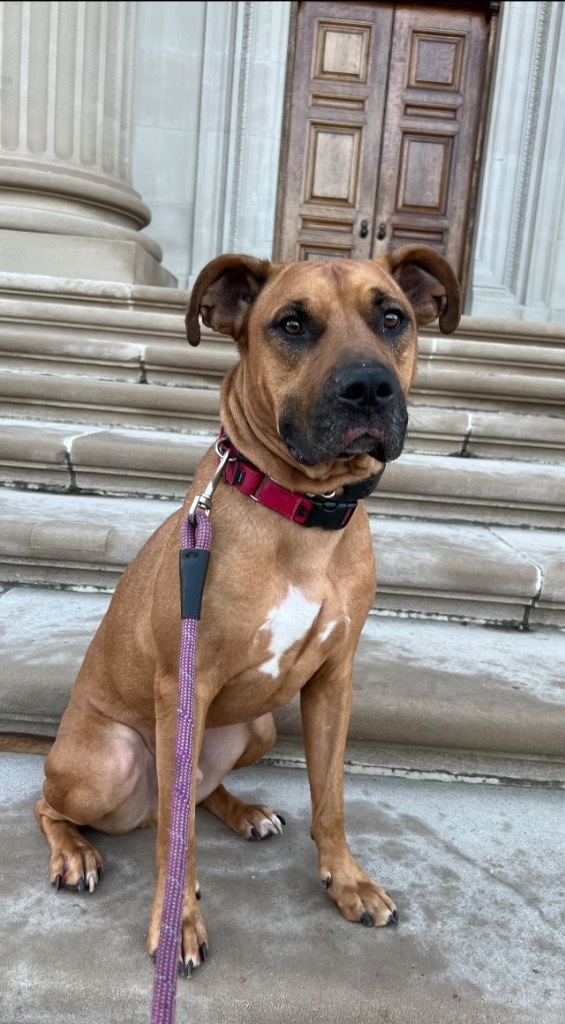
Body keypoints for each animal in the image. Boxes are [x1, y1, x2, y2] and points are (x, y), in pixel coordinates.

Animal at [25, 243, 458, 970]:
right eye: (291, 324)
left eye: (392, 317)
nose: (369, 387)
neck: (303, 514)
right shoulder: (185, 685)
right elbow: (177, 844)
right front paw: (176, 922)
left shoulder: (332, 681)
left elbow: (330, 800)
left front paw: (347, 881)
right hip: (110, 760)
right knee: (66, 806)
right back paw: (74, 851)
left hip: (257, 728)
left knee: (196, 796)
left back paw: (245, 811)